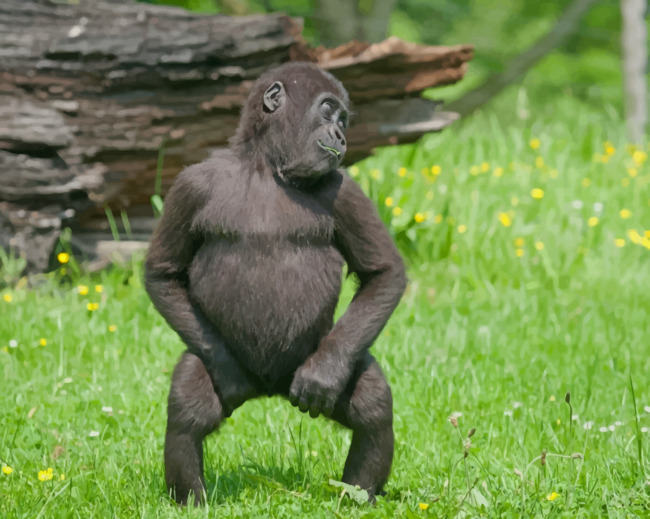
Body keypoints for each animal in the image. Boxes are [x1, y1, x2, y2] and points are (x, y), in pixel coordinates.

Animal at [144, 61, 407, 505]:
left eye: (343, 121)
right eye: (328, 112)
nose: (341, 136)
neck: (267, 167)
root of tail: (269, 389)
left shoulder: (344, 188)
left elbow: (383, 273)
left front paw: (323, 376)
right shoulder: (190, 185)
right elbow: (162, 272)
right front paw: (227, 373)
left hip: (310, 361)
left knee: (371, 401)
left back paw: (357, 497)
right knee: (188, 404)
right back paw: (192, 500)